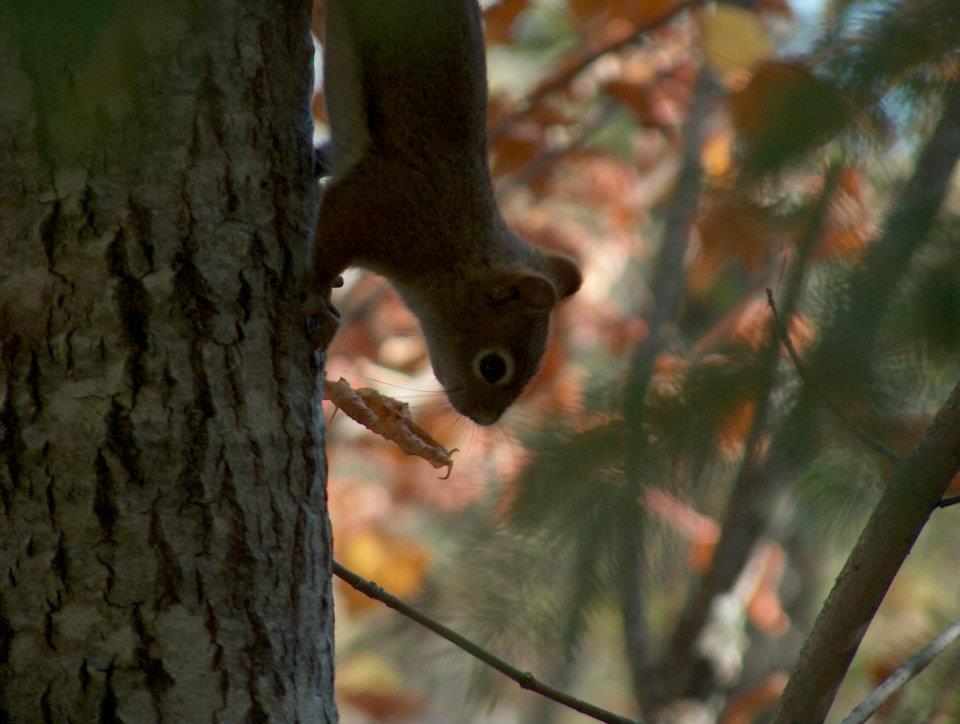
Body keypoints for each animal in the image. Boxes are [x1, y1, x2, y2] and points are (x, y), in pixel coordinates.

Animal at [306, 0, 584, 428]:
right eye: (492, 366)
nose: (486, 419)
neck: (454, 246)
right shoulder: (374, 205)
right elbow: (325, 249)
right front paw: (318, 298)